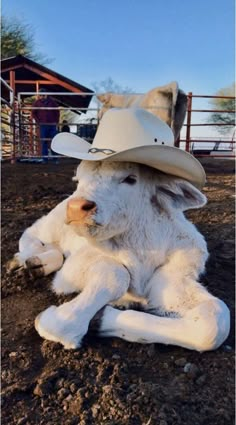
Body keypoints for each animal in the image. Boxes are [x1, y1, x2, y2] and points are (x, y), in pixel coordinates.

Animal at [7, 161, 230, 350]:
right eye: (78, 179)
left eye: (131, 179)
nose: (76, 208)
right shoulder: (71, 271)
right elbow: (116, 273)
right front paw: (59, 321)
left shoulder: (175, 279)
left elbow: (215, 323)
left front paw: (101, 319)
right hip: (53, 223)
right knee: (31, 233)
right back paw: (24, 259)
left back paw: (37, 264)